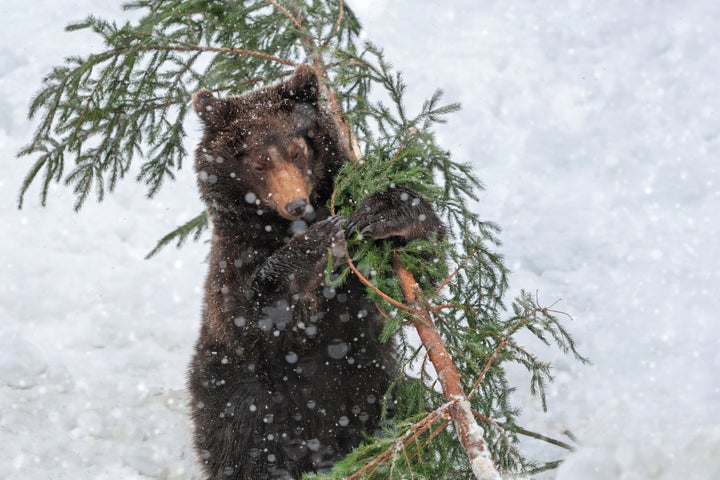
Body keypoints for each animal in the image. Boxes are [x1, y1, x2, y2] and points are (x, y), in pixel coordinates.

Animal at [188, 64, 442, 480]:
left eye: (296, 149)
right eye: (258, 162)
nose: (295, 203)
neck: (276, 227)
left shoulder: (362, 279)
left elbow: (423, 270)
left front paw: (384, 212)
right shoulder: (233, 264)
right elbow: (259, 313)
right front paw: (318, 244)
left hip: (372, 383)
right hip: (232, 390)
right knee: (240, 444)